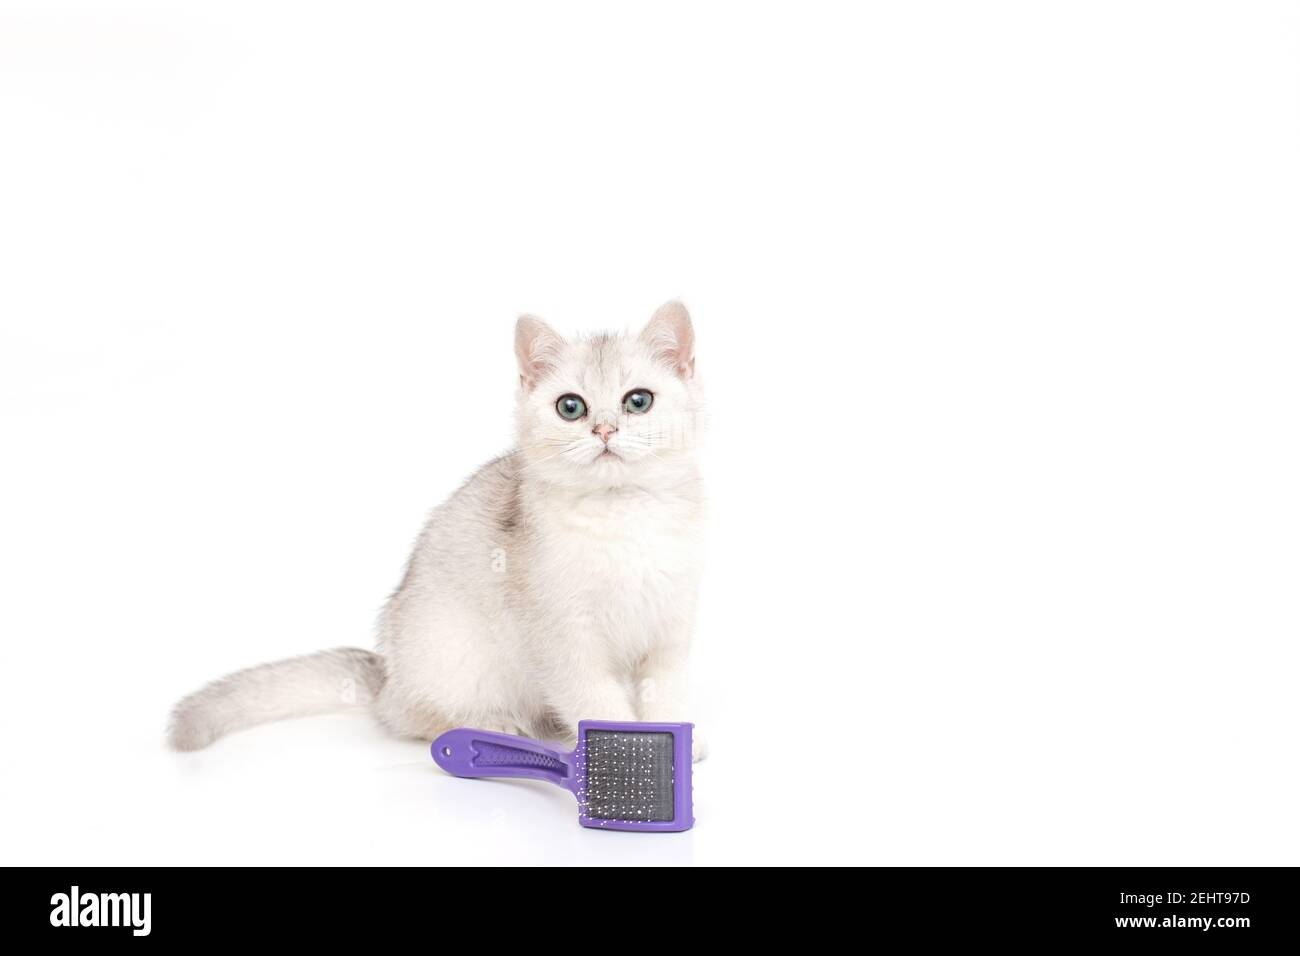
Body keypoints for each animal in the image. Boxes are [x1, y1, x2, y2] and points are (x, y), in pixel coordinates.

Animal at [170, 304, 712, 764]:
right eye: (571, 408)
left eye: (638, 401)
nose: (603, 430)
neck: (623, 514)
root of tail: (388, 679)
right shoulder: (564, 639)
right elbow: (599, 706)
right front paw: (622, 757)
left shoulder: (669, 631)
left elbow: (665, 696)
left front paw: (675, 745)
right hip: (454, 656)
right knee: (410, 718)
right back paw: (494, 726)